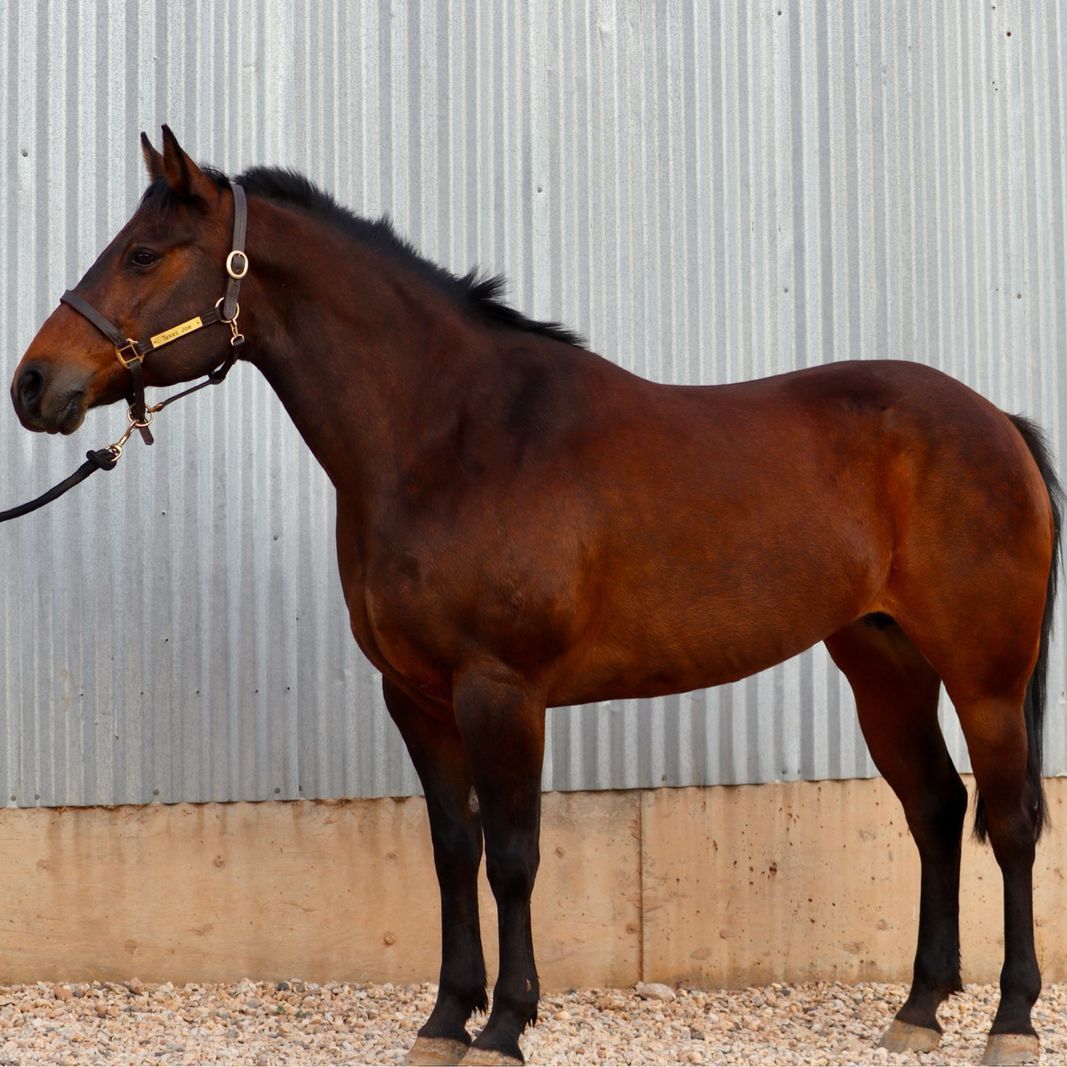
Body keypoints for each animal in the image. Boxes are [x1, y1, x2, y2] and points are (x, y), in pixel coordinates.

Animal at [11, 127, 1060, 1067]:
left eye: (143, 253)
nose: (32, 384)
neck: (454, 436)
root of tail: (994, 421)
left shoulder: (501, 690)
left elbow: (513, 853)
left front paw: (506, 1026)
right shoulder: (417, 696)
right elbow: (452, 848)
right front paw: (444, 1021)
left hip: (985, 676)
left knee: (1007, 822)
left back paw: (1009, 1021)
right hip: (881, 659)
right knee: (934, 806)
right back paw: (918, 1010)